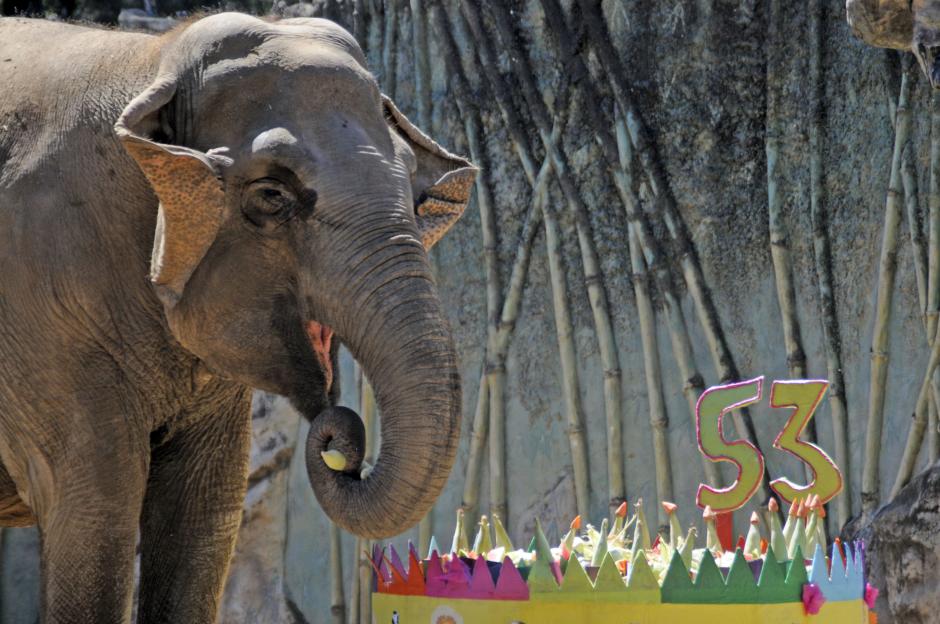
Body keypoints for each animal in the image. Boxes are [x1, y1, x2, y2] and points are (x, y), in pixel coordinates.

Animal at [0, 13, 476, 623]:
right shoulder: (42, 310)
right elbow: (95, 512)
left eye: (416, 194)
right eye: (272, 195)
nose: (340, 444)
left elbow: (201, 515)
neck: (150, 63)